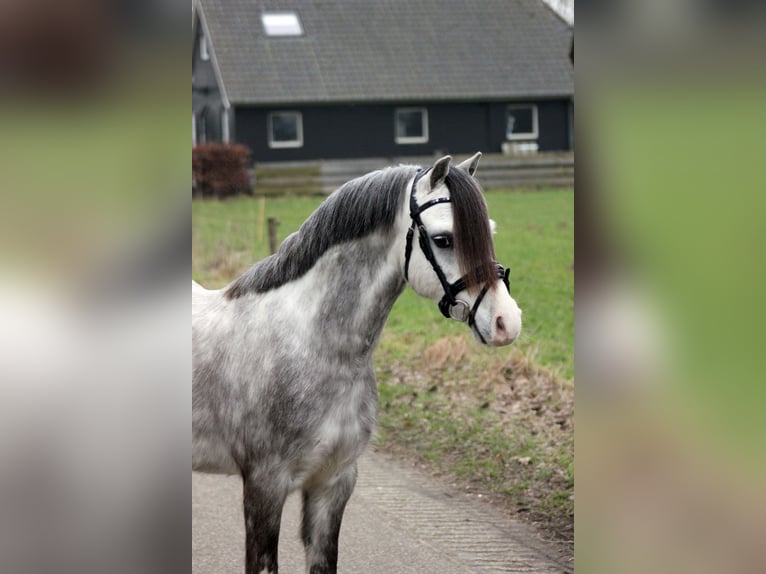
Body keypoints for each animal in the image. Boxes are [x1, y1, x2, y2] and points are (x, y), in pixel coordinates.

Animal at [192, 153, 522, 574]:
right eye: (444, 239)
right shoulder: (264, 486)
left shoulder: (334, 484)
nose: (506, 322)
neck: (314, 347)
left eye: (489, 231)